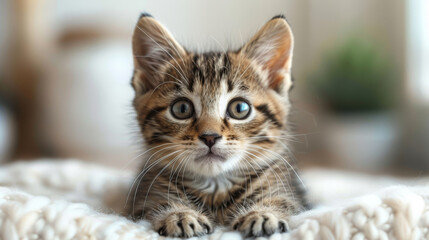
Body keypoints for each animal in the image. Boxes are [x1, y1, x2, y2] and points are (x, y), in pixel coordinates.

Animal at [129, 13, 306, 238]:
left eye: (240, 108)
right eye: (182, 109)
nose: (210, 137)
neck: (215, 185)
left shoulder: (290, 191)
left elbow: (283, 201)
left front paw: (263, 213)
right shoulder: (143, 197)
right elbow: (157, 203)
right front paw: (179, 214)